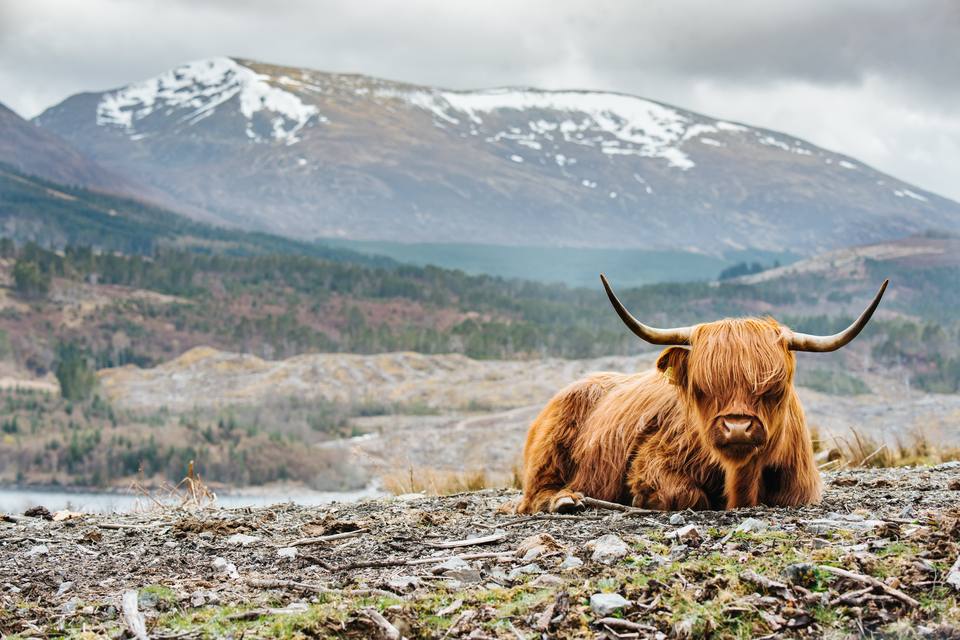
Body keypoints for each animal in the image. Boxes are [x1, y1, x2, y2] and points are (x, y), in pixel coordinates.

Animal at [516, 276, 888, 513]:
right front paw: (643, 501)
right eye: (701, 387)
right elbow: (687, 495)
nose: (737, 428)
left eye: (774, 387)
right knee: (532, 495)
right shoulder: (652, 462)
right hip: (550, 449)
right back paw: (565, 500)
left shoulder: (801, 489)